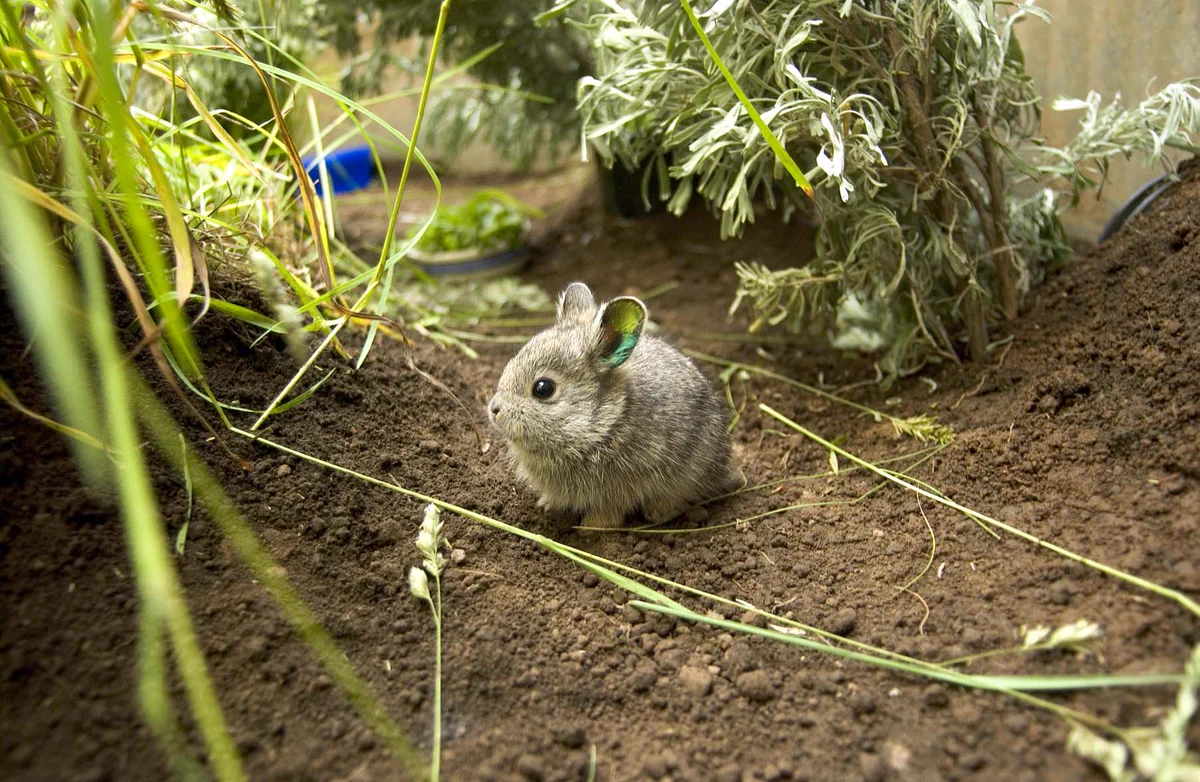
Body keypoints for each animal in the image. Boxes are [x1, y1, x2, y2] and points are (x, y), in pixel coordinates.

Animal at [488, 281, 740, 529]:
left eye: (543, 388)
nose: (494, 410)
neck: (601, 423)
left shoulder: (619, 488)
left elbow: (609, 512)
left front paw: (590, 528)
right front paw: (547, 505)